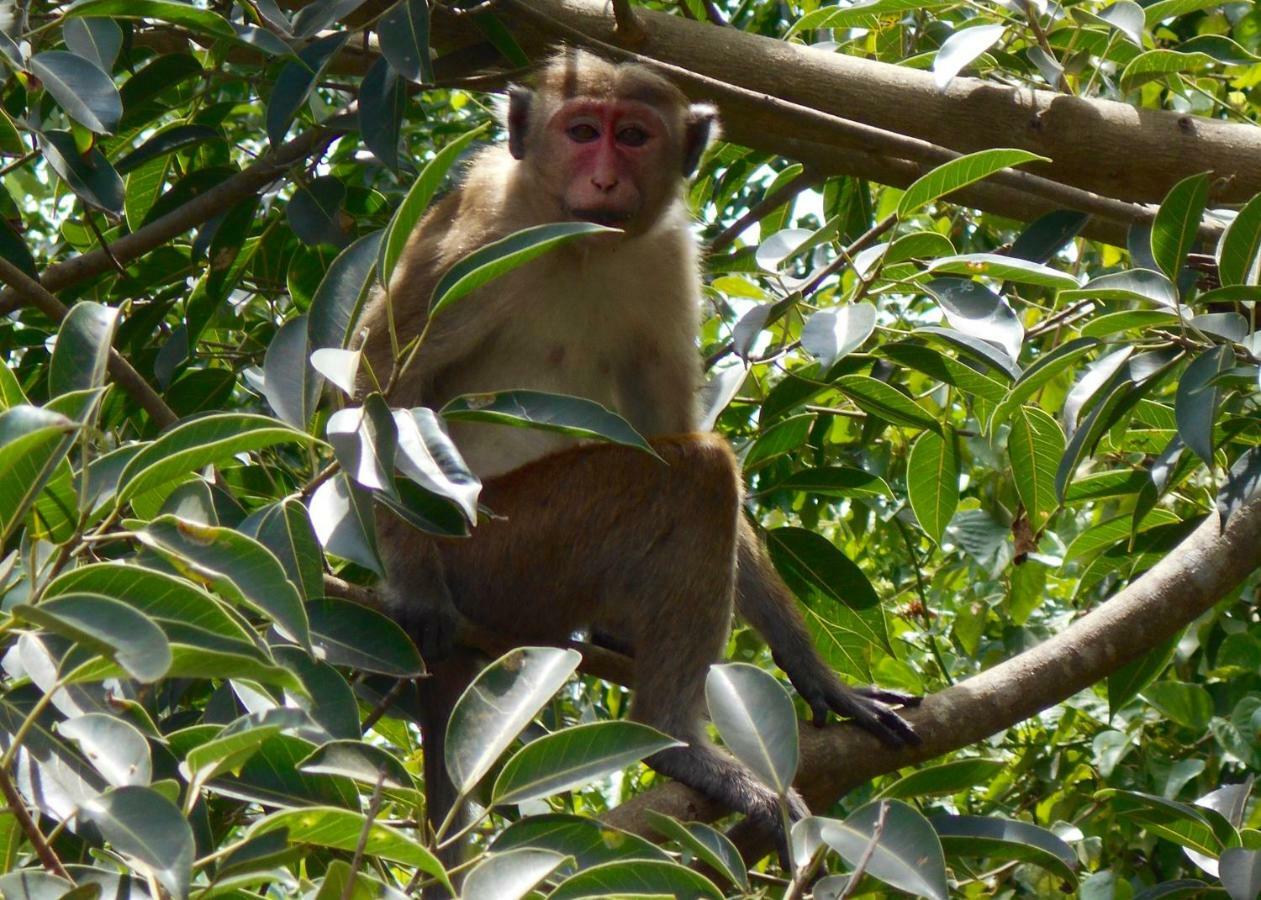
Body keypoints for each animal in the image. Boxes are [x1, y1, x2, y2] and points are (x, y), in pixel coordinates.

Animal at [360, 49, 923, 877]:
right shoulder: (472, 235)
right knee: (695, 478)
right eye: (580, 131)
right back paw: (674, 741)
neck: (580, 242)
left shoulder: (668, 255)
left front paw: (815, 671)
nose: (602, 179)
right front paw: (413, 587)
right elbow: (379, 381)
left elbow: (668, 420)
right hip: (503, 556)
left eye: (631, 136)